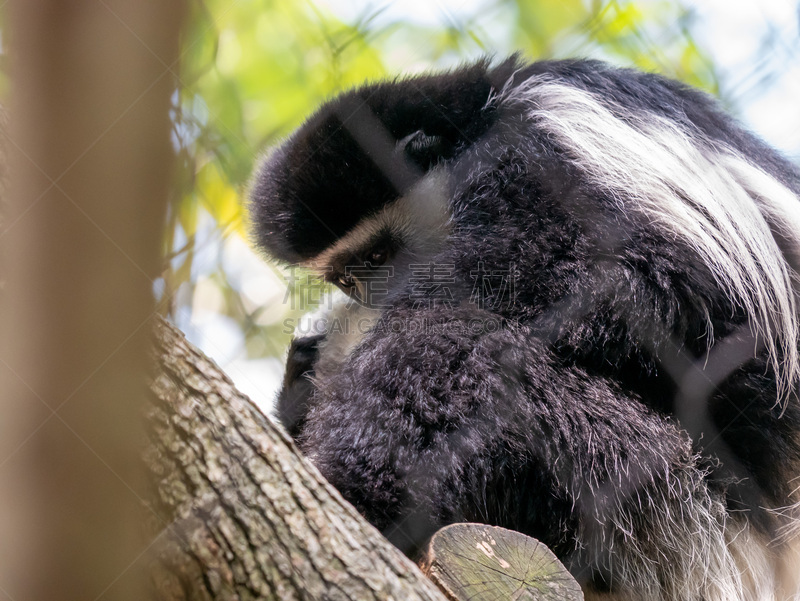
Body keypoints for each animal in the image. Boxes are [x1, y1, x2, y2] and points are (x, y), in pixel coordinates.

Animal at [250, 57, 800, 600]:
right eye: (348, 276)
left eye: (380, 255)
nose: (369, 296)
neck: (481, 118)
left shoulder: (546, 153)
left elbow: (654, 284)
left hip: (647, 480)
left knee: (444, 346)